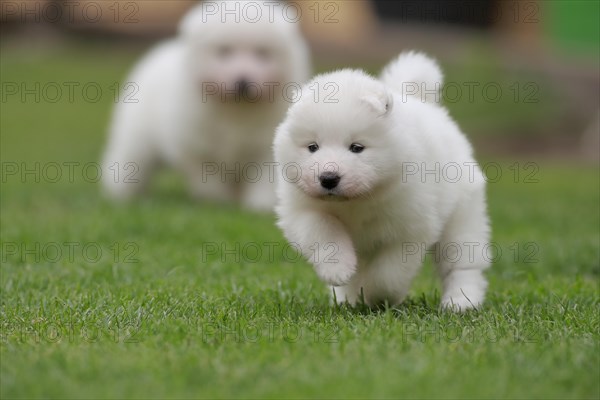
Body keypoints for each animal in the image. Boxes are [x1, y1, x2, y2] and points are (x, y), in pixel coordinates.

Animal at [101, 0, 312, 212]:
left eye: (262, 52)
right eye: (224, 51)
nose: (243, 81)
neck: (235, 110)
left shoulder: (264, 145)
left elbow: (263, 179)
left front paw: (258, 206)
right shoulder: (195, 146)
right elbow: (209, 179)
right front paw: (218, 203)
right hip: (137, 136)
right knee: (131, 161)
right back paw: (122, 195)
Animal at [274, 52, 490, 310]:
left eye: (357, 147)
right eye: (312, 147)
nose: (328, 178)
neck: (355, 202)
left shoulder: (410, 227)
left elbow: (389, 273)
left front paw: (379, 296)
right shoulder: (302, 210)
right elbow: (324, 231)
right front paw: (337, 271)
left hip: (462, 216)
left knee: (462, 264)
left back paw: (460, 303)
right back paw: (346, 298)